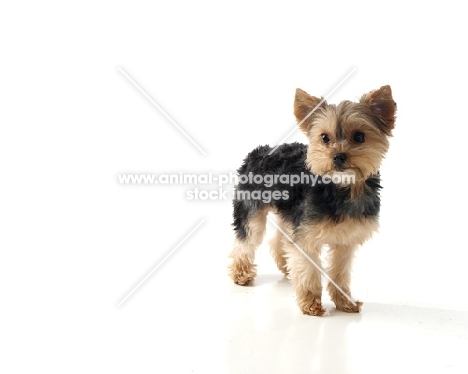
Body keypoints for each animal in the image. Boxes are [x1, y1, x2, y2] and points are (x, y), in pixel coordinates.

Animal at [229, 85, 396, 316]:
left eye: (359, 136)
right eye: (325, 138)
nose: (338, 156)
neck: (343, 188)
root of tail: (261, 151)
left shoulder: (346, 241)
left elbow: (339, 272)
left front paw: (345, 302)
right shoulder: (307, 239)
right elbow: (308, 270)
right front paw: (311, 304)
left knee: (280, 240)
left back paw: (285, 265)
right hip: (251, 206)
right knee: (246, 239)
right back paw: (241, 274)